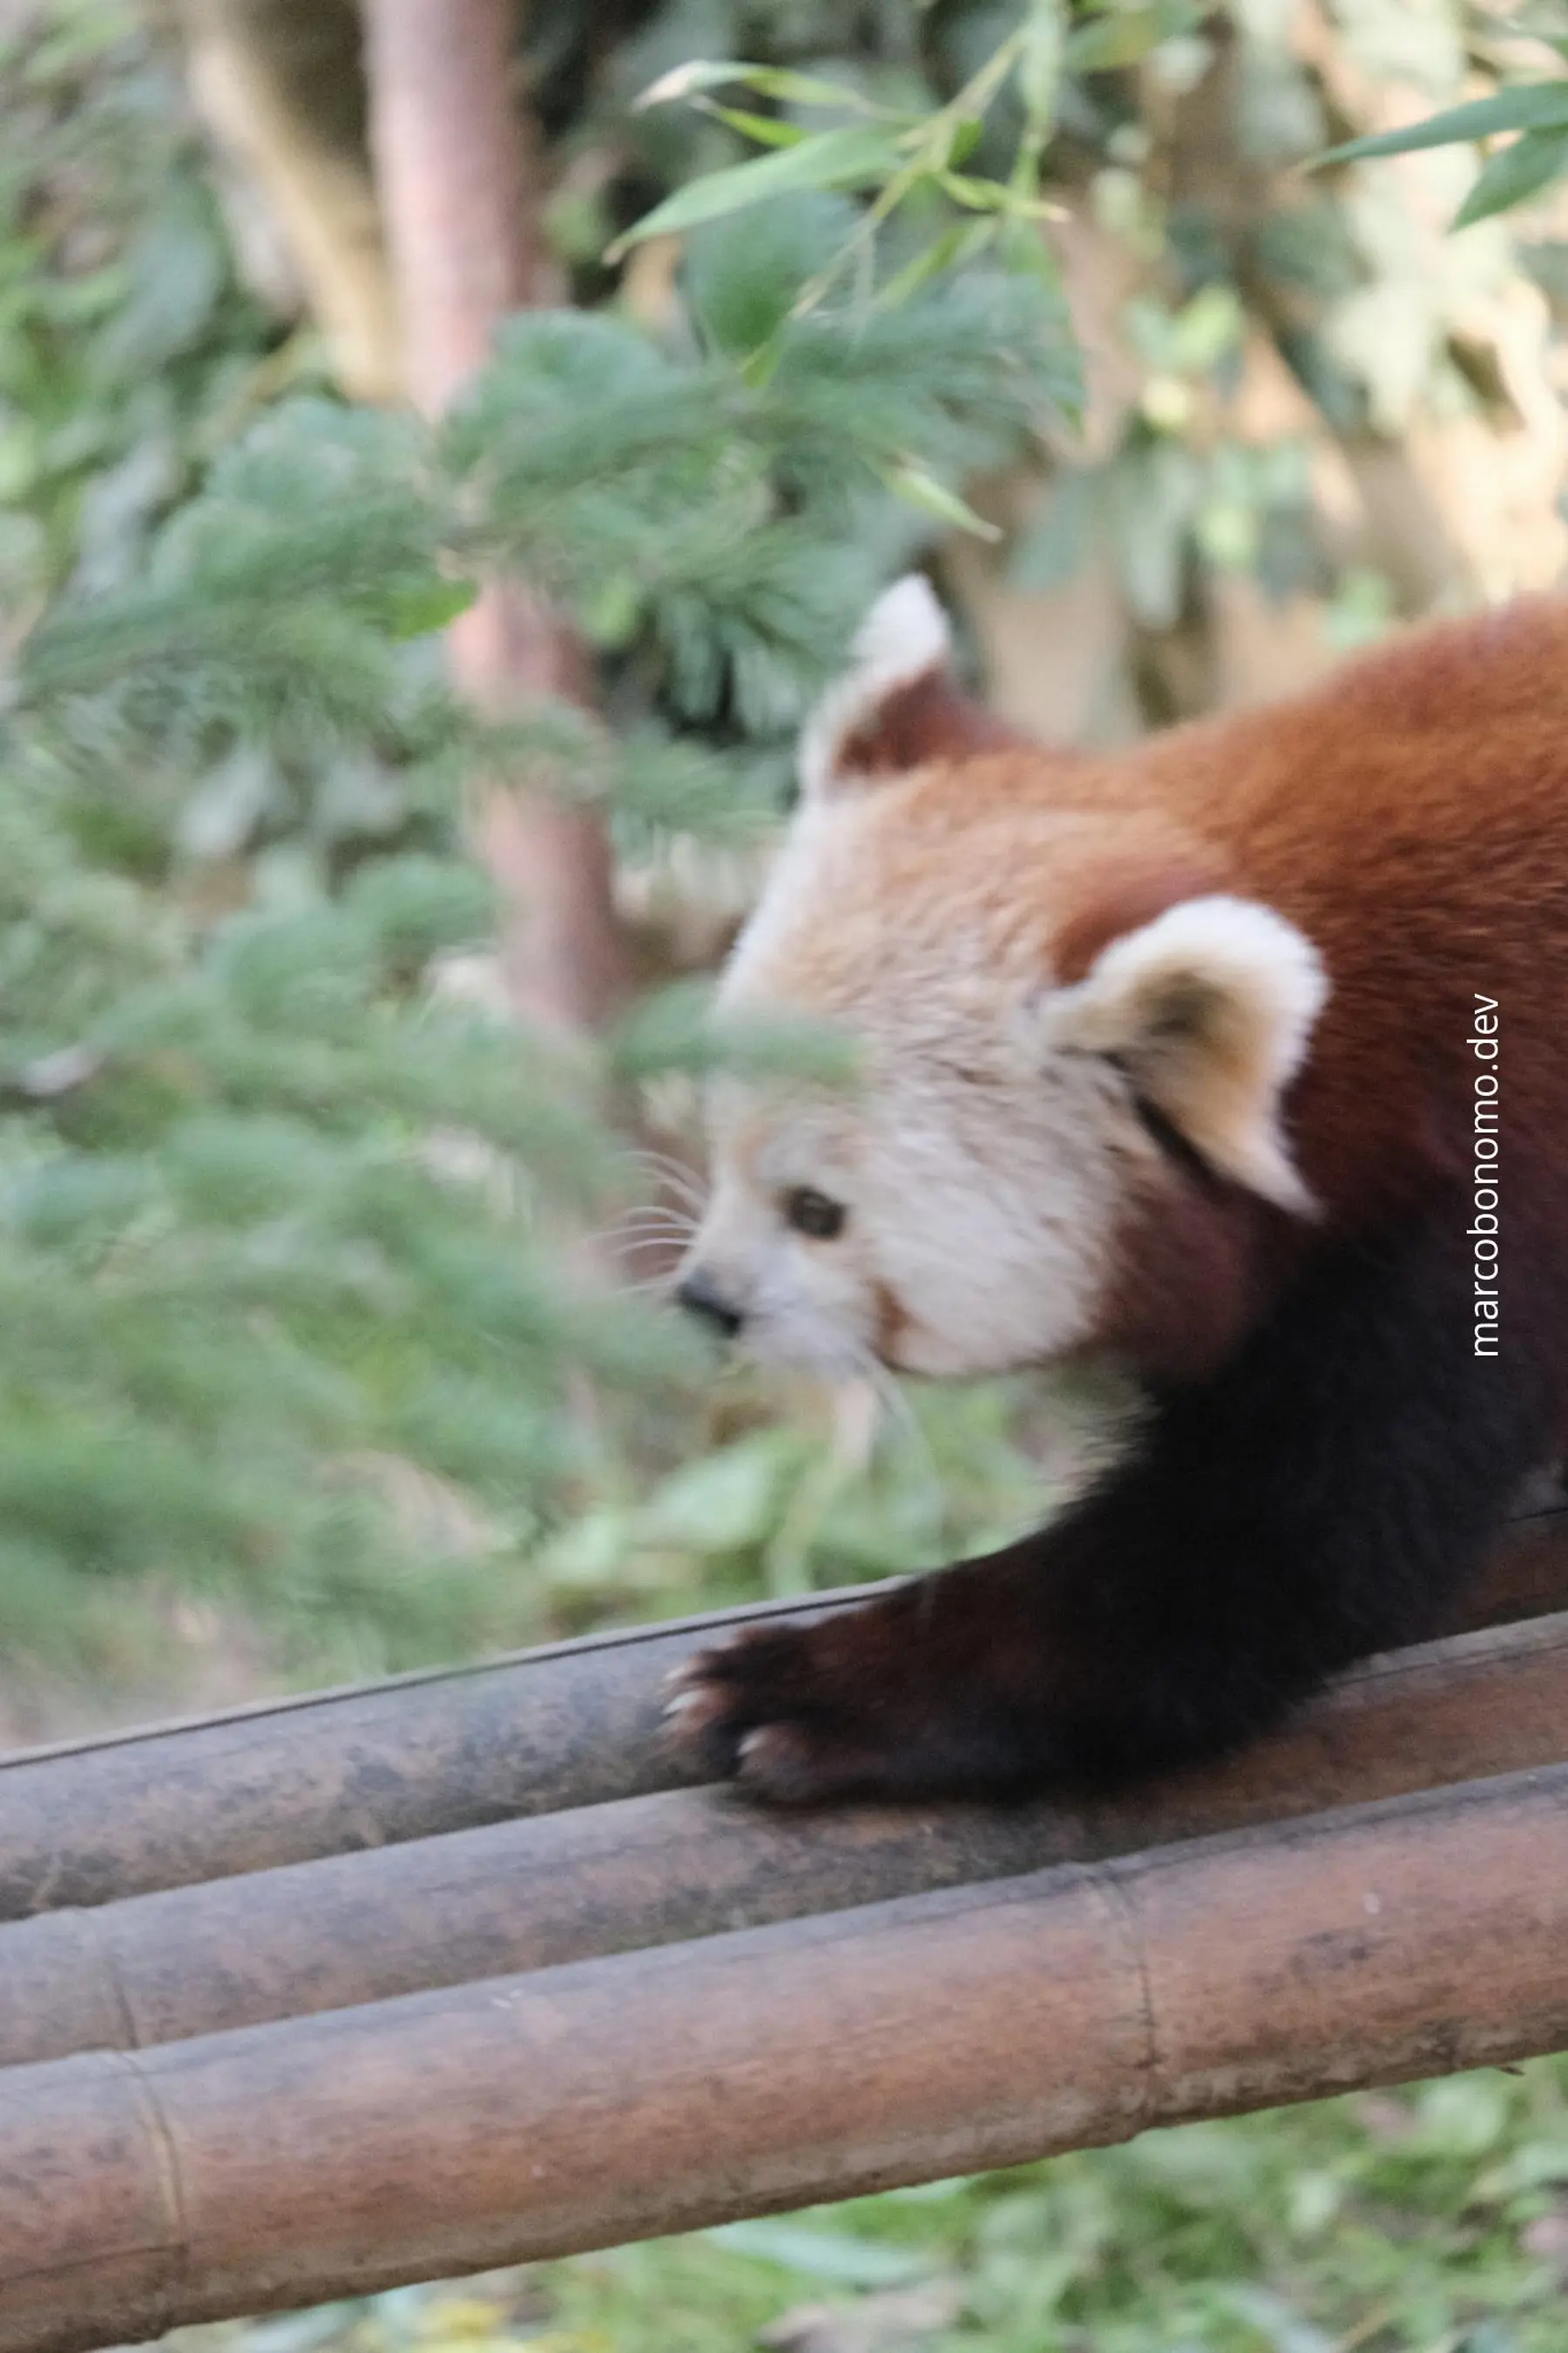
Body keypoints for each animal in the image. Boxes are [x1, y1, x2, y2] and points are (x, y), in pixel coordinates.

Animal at [665, 574, 1568, 1805]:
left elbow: (1279, 1548)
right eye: (720, 1147)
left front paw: (821, 1688)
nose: (706, 1301)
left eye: (819, 1213)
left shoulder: (1480, 1214)